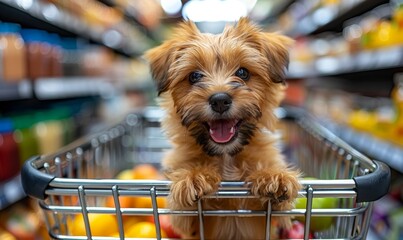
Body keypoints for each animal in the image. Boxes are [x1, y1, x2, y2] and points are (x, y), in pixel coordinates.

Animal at [144, 17, 300, 239]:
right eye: (194, 76)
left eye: (243, 72)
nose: (219, 100)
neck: (226, 156)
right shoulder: (184, 222)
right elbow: (183, 210)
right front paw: (194, 177)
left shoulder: (272, 221)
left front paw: (272, 176)